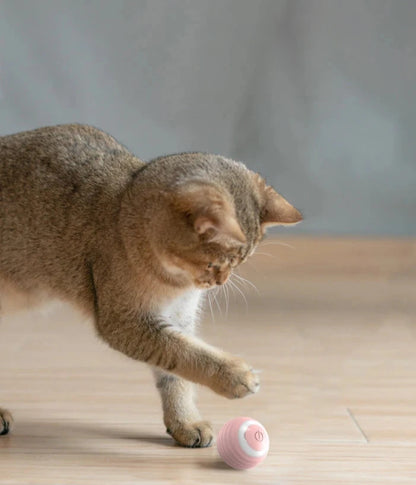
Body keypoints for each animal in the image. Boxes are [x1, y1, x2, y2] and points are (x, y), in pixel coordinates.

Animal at [0, 124, 300, 446]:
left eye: (239, 263)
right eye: (214, 264)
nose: (220, 282)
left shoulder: (178, 317)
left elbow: (177, 374)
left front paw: (185, 422)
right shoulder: (126, 322)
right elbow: (186, 353)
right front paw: (234, 376)